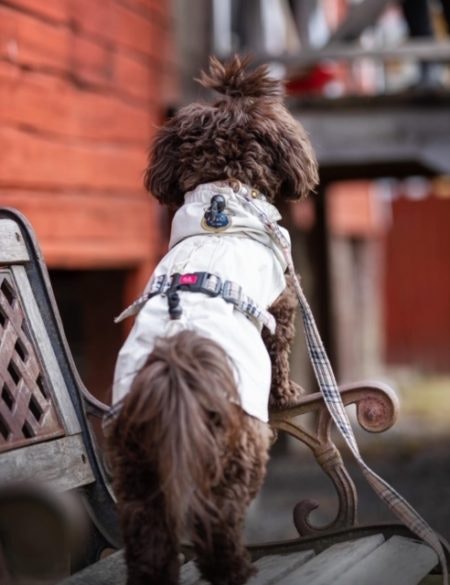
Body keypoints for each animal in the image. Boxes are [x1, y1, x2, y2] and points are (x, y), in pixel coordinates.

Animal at [106, 56, 316, 584]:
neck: (222, 199)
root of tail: (175, 367)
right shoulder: (282, 303)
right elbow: (280, 353)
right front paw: (288, 394)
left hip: (136, 468)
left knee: (148, 539)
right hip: (238, 452)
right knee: (216, 527)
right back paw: (238, 568)